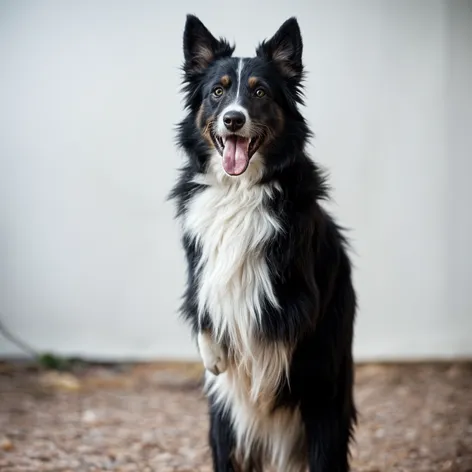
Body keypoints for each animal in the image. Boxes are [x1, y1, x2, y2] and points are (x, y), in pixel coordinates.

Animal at [170, 14, 358, 472]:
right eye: (218, 91)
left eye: (259, 92)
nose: (233, 120)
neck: (238, 191)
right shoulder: (199, 266)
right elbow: (204, 304)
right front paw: (214, 355)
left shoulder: (299, 290)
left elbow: (272, 324)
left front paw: (260, 364)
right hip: (224, 429)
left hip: (325, 410)